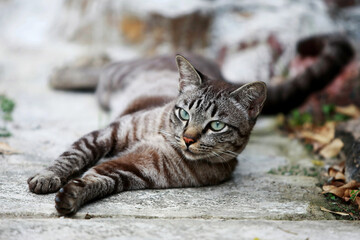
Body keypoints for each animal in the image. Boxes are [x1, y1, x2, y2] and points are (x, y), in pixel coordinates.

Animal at [28, 32, 354, 215]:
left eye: (216, 126)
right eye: (184, 114)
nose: (188, 138)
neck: (166, 140)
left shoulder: (134, 169)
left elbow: (97, 179)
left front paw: (72, 196)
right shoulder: (110, 132)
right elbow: (73, 156)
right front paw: (47, 177)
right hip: (115, 83)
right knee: (102, 68)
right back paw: (68, 69)